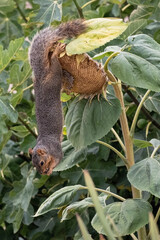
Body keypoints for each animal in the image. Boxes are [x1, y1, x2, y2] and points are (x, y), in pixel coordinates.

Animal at [28, 20, 86, 174]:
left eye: (41, 163)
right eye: (34, 166)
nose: (43, 173)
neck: (46, 145)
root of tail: (41, 75)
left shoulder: (57, 151)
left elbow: (58, 160)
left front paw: (50, 170)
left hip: (54, 74)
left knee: (54, 62)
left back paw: (56, 52)